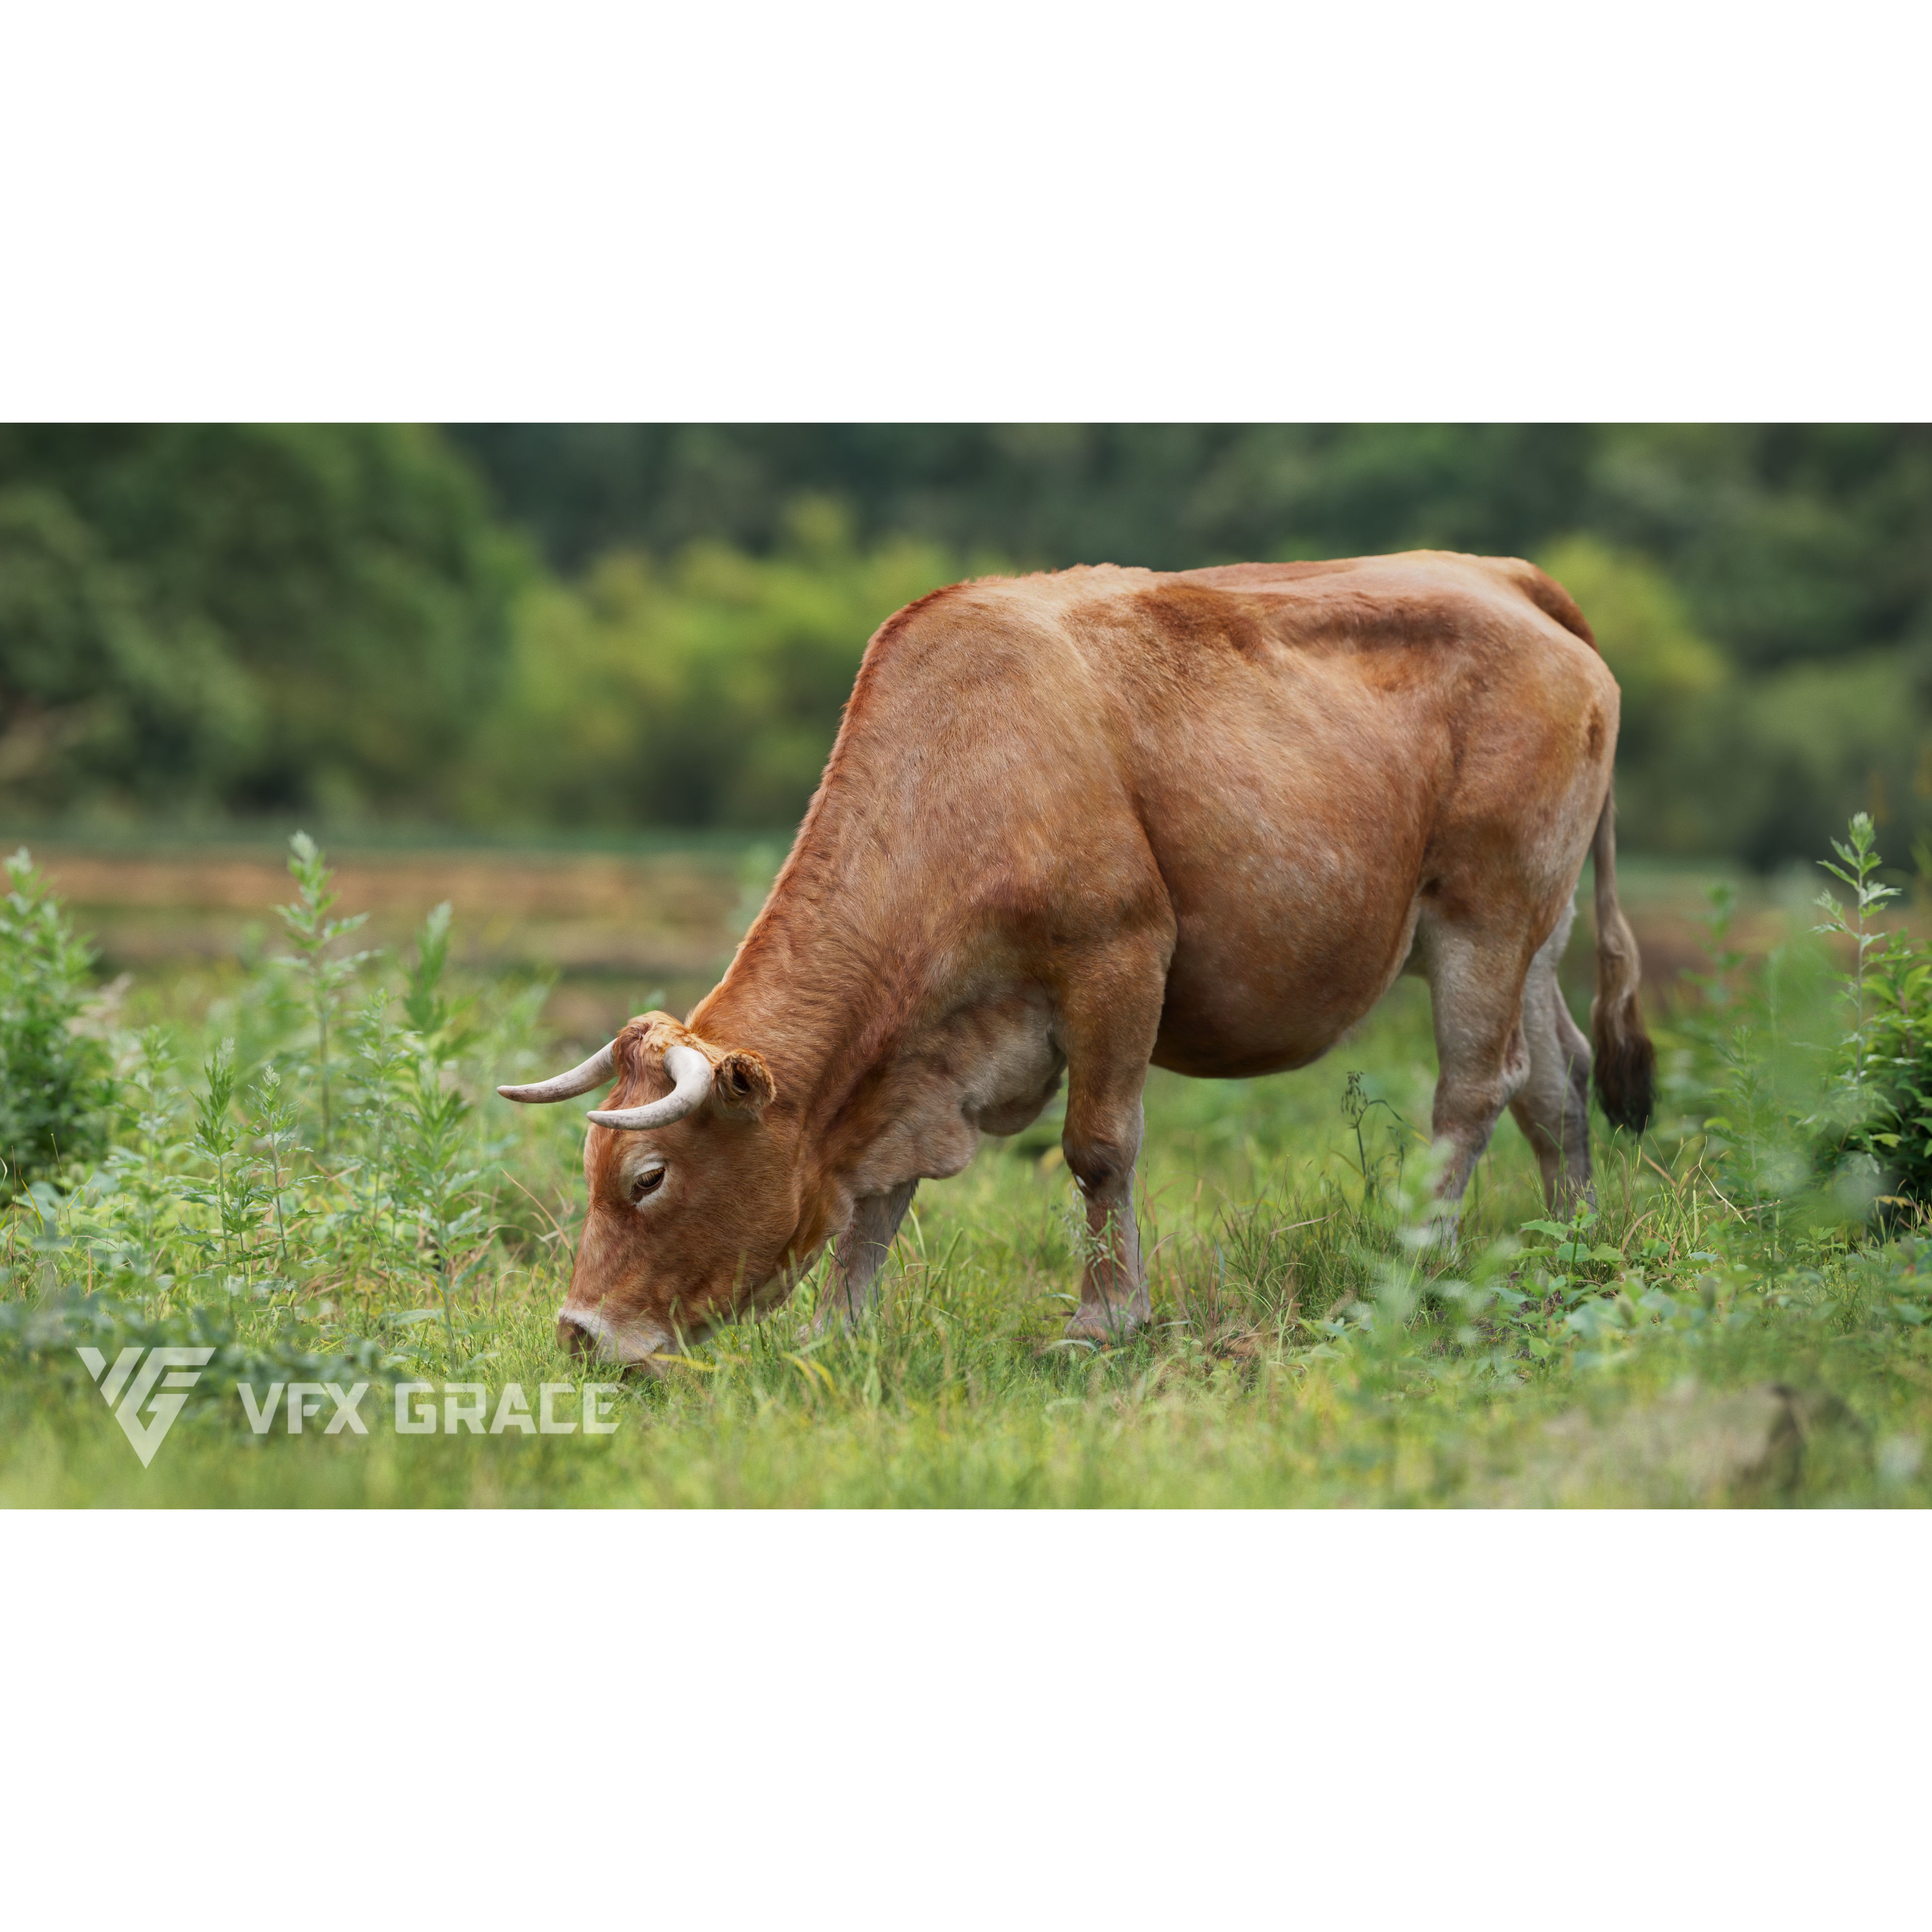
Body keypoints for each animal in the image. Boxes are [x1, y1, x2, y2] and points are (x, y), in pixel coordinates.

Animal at [500, 551, 1654, 1370]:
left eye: (648, 1177)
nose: (580, 1336)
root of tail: (1503, 576)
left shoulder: (1118, 955)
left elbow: (1099, 1149)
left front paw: (1102, 1322)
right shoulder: (917, 1064)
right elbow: (877, 1200)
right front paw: (836, 1335)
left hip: (1485, 909)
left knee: (1475, 1090)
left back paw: (1417, 1270)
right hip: (1533, 928)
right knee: (1556, 1083)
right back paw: (1573, 1251)